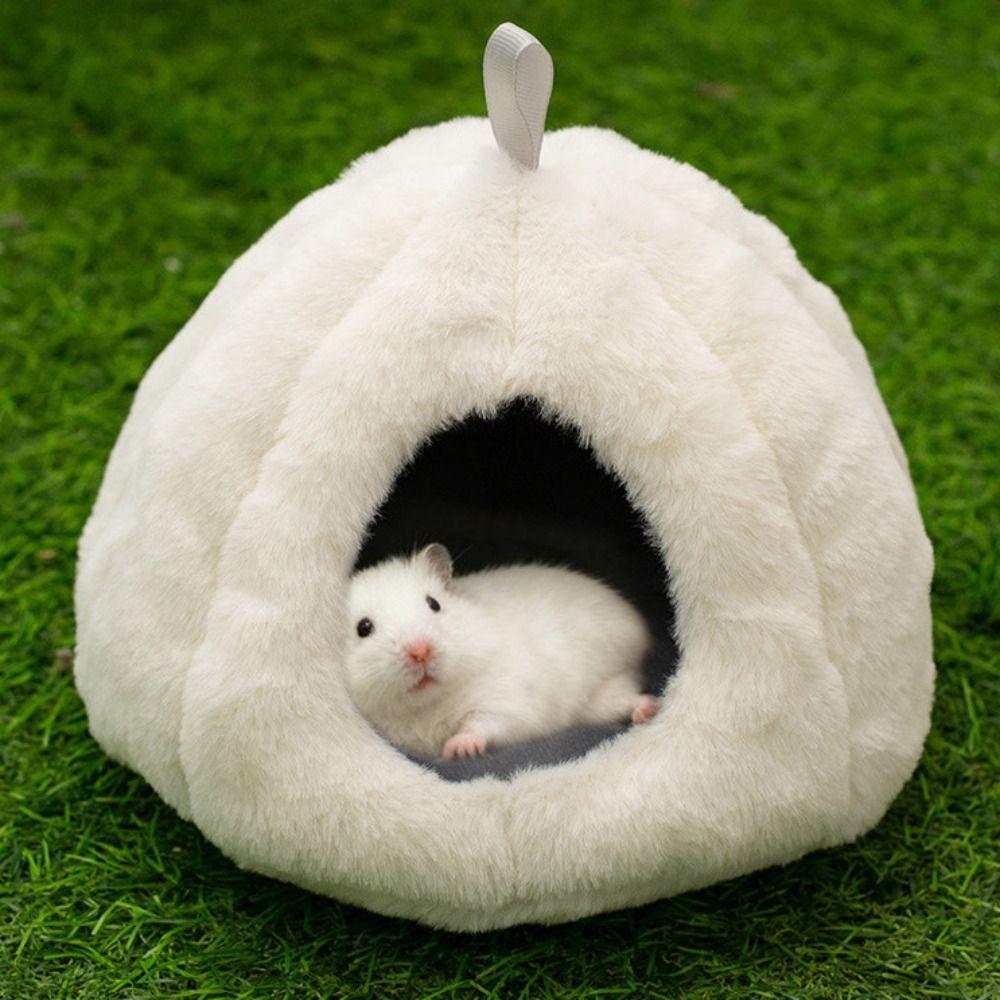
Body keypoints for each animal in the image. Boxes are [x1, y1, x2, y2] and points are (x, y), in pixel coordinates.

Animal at [344, 543, 658, 760]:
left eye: (434, 604)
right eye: (363, 627)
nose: (421, 652)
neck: (427, 705)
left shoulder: (506, 700)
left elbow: (484, 724)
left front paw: (457, 750)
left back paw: (651, 710)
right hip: (597, 703)